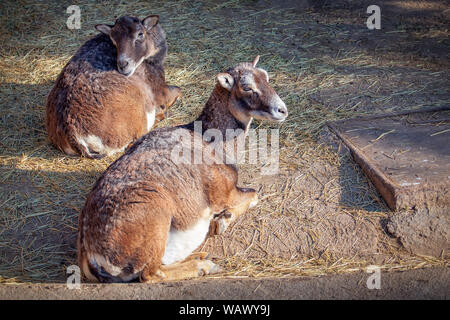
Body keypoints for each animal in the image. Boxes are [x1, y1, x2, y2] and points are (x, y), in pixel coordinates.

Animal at [44, 15, 179, 158]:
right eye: (113, 39)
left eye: (140, 34)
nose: (123, 64)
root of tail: (73, 135)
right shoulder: (159, 89)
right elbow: (177, 91)